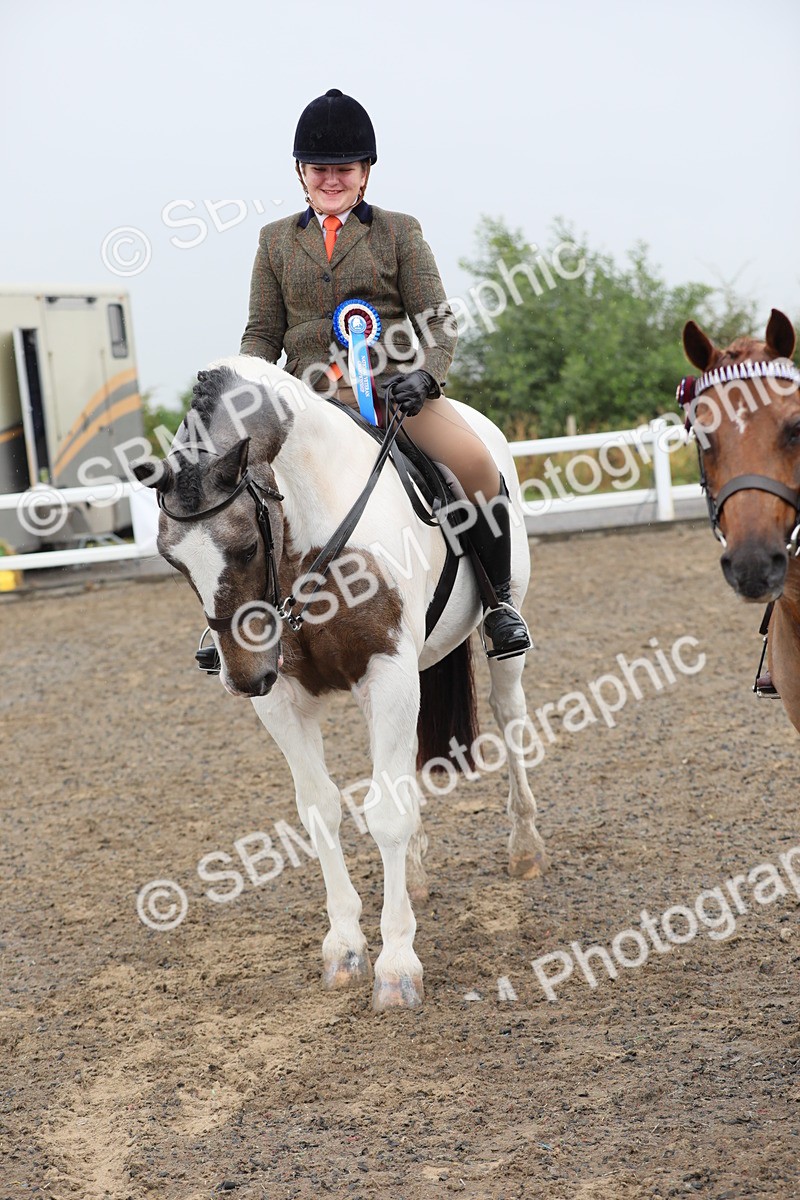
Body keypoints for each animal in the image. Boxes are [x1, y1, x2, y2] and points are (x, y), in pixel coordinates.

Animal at [133, 356, 547, 1011]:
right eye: (173, 561)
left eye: (246, 545)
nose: (244, 678)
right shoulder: (285, 699)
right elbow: (321, 811)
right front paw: (346, 948)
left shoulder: (387, 671)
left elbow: (387, 814)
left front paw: (397, 965)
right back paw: (418, 876)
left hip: (496, 643)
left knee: (509, 718)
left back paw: (525, 848)